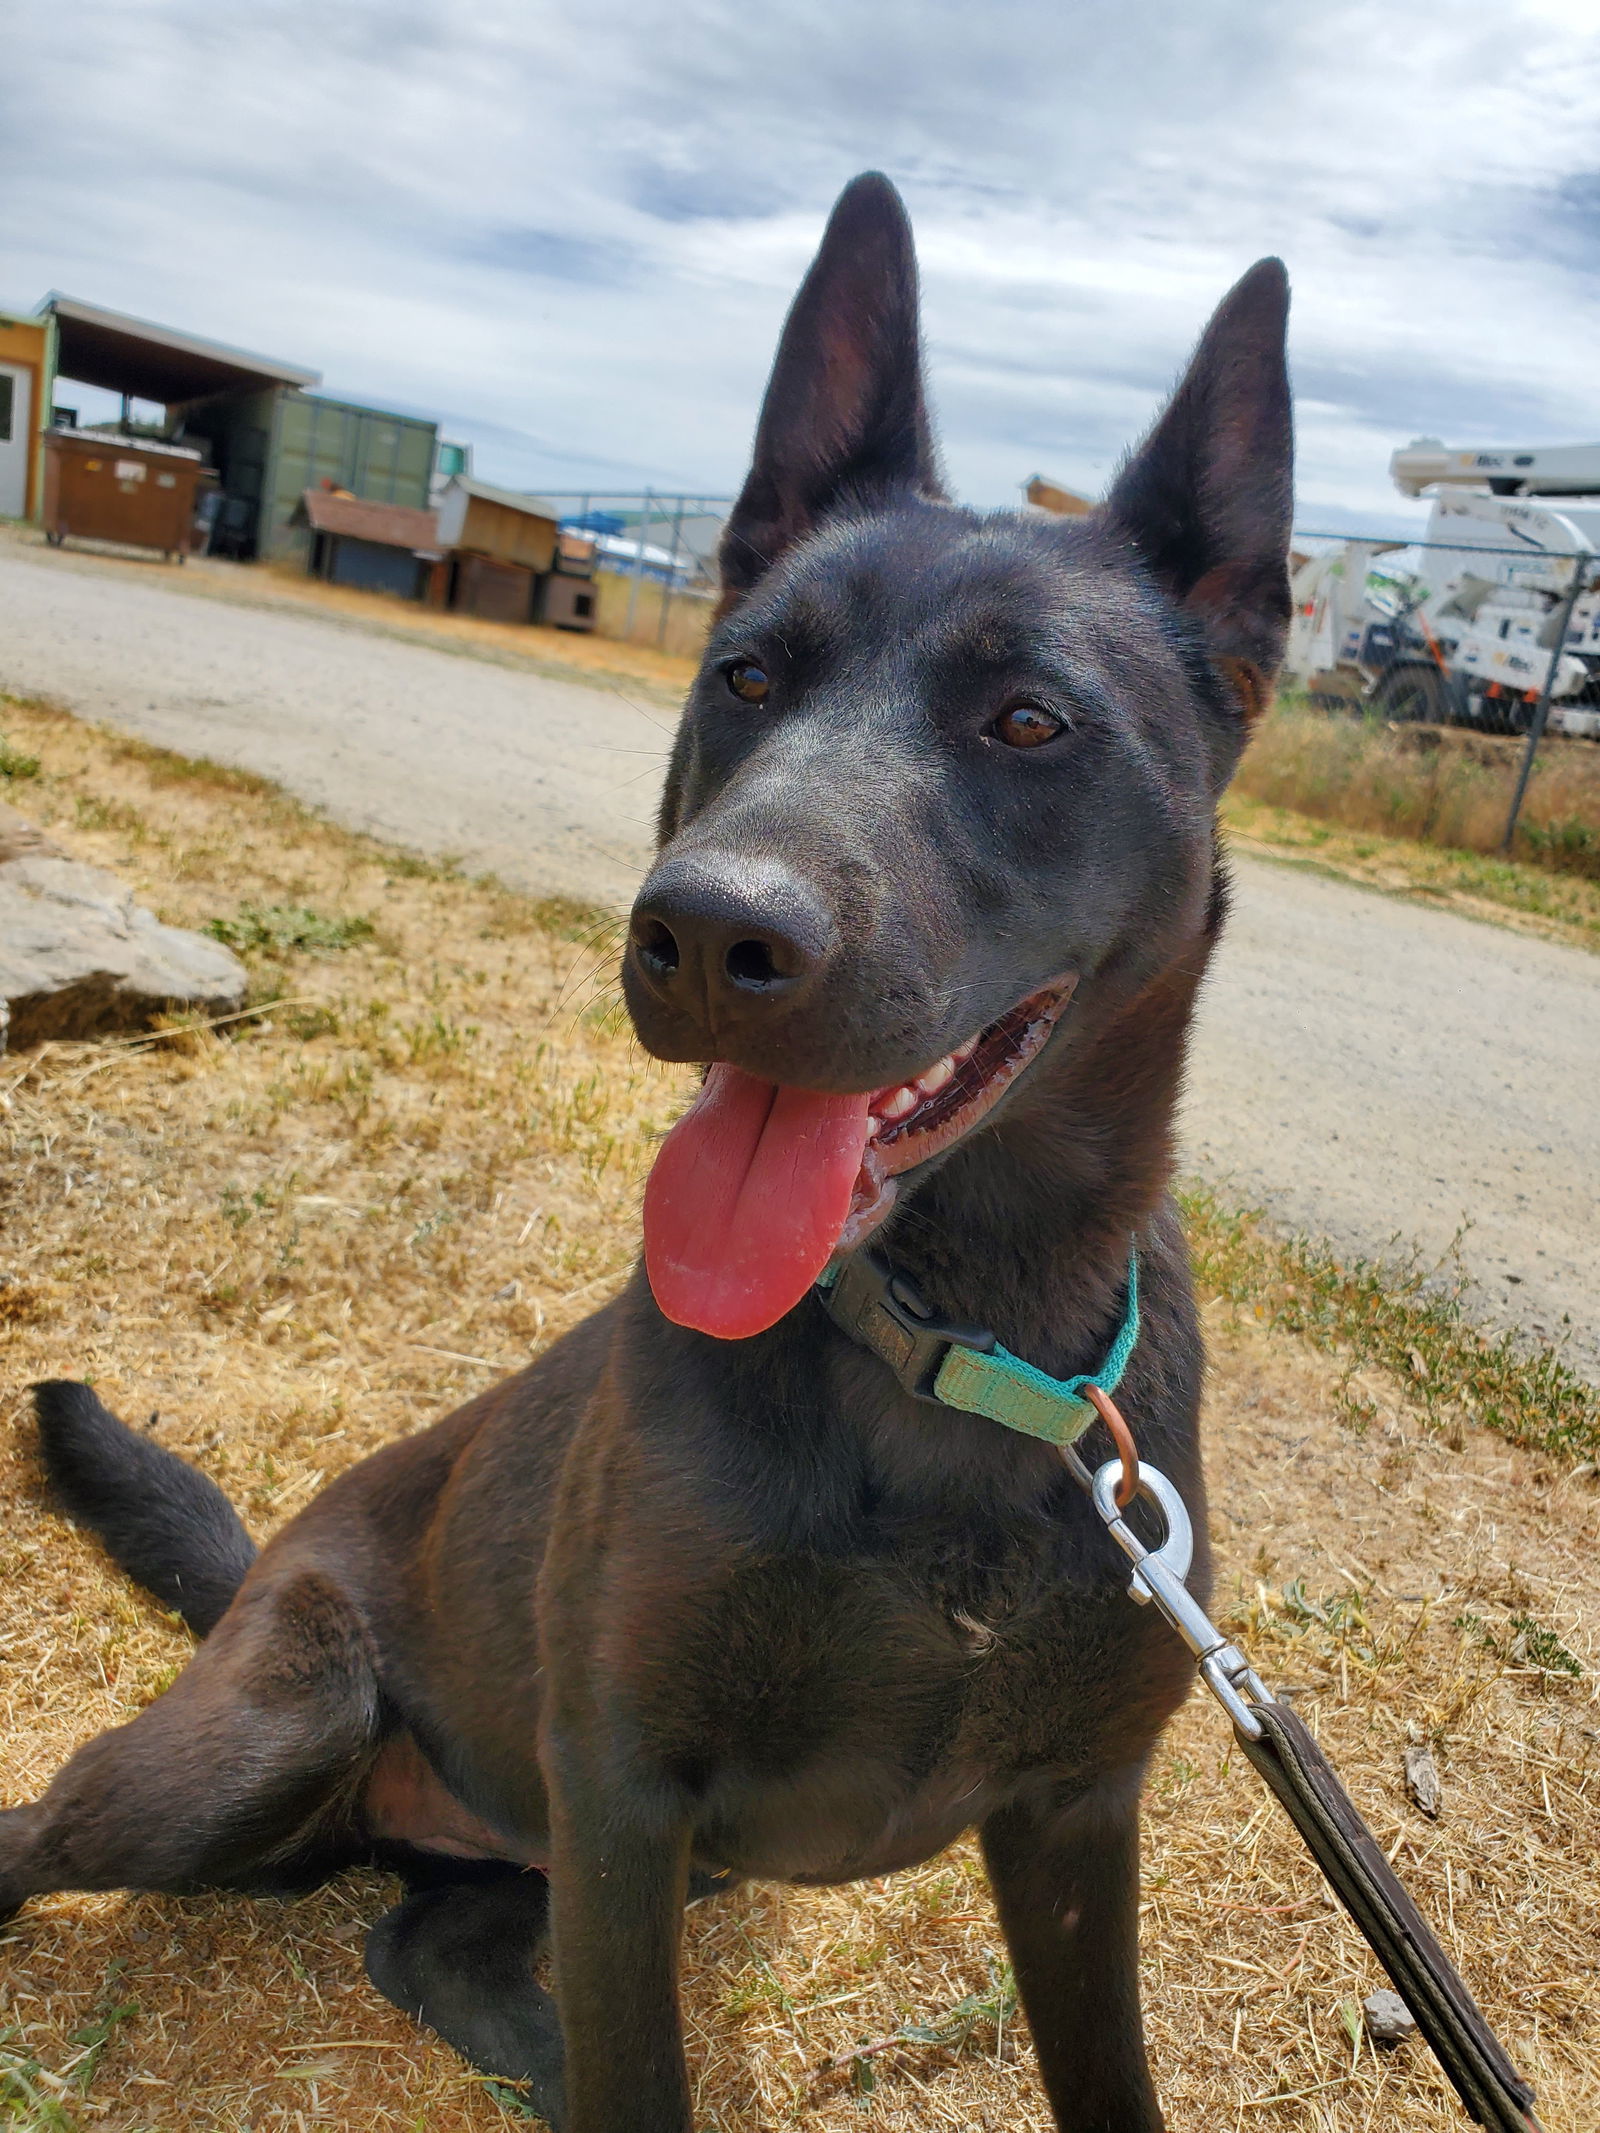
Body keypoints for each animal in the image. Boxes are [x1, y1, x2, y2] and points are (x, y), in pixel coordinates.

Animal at [0, 170, 1297, 2133]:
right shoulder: (619, 1799)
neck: (952, 1349)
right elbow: (639, 2057)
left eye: (1028, 721)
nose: (704, 932)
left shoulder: (1075, 1823)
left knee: (425, 1944)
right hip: (274, 1732)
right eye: (747, 675)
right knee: (39, 1831)